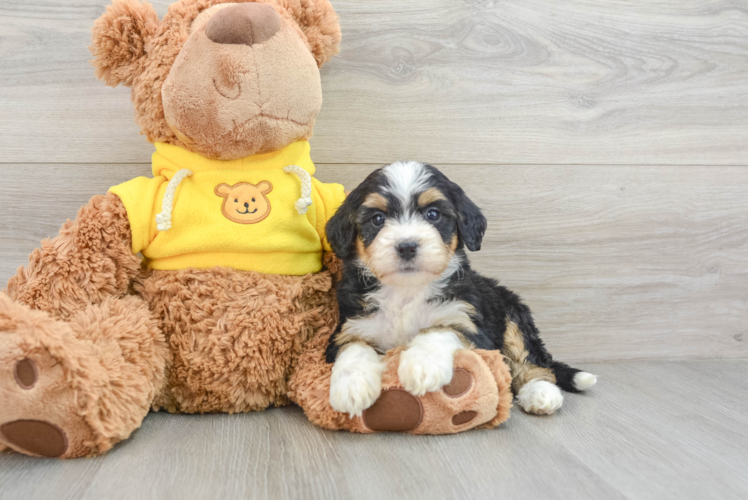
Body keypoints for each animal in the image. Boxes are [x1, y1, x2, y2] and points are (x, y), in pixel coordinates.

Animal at [324, 161, 600, 418]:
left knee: (531, 361)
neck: (407, 291)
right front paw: (350, 388)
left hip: (512, 313)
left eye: (433, 214)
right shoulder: (350, 325)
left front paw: (422, 365)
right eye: (378, 219)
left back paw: (541, 393)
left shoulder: (471, 324)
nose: (407, 246)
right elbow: (354, 347)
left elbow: (441, 328)